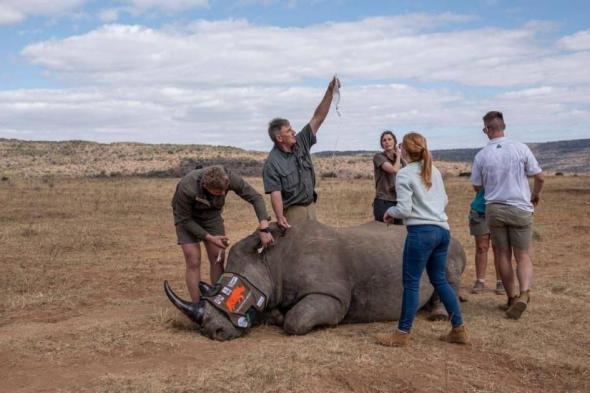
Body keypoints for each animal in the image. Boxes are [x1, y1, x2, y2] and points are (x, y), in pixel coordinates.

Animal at [163, 220, 468, 340]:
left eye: (231, 293)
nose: (211, 332)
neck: (271, 262)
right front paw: (275, 315)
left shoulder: (333, 296)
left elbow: (296, 320)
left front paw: (286, 319)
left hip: (448, 244)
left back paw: (438, 315)